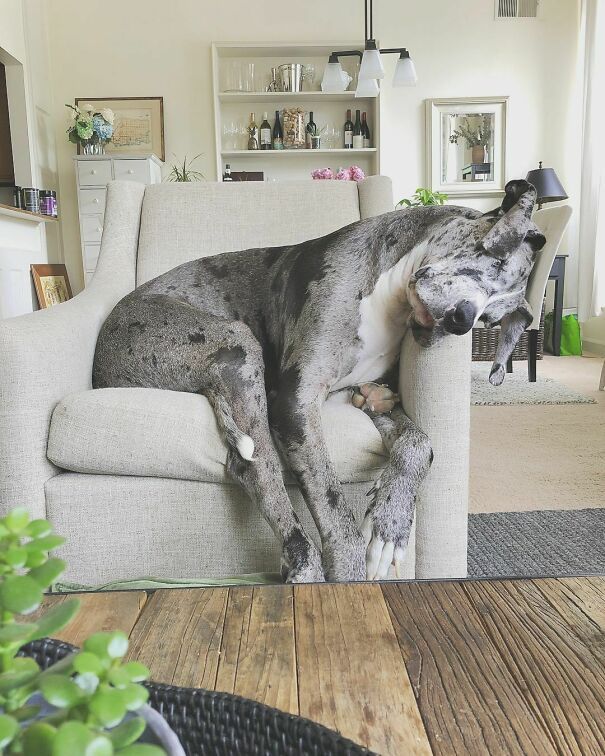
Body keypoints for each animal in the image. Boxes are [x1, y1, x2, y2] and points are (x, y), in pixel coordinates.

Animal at [92, 179, 544, 584]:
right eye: (495, 255)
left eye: (490, 319)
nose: (462, 320)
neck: (389, 291)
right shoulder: (295, 402)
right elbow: (335, 512)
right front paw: (349, 575)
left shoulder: (344, 397)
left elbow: (421, 444)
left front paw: (390, 525)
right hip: (237, 343)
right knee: (257, 468)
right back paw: (304, 567)